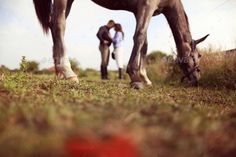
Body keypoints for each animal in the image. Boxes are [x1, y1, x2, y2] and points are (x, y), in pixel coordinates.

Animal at [32, 0, 208, 88]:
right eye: (199, 55)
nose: (197, 79)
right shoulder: (147, 5)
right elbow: (140, 36)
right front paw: (135, 77)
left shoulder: (138, 10)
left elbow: (145, 44)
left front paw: (145, 78)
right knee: (59, 24)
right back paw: (69, 72)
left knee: (54, 24)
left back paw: (59, 72)